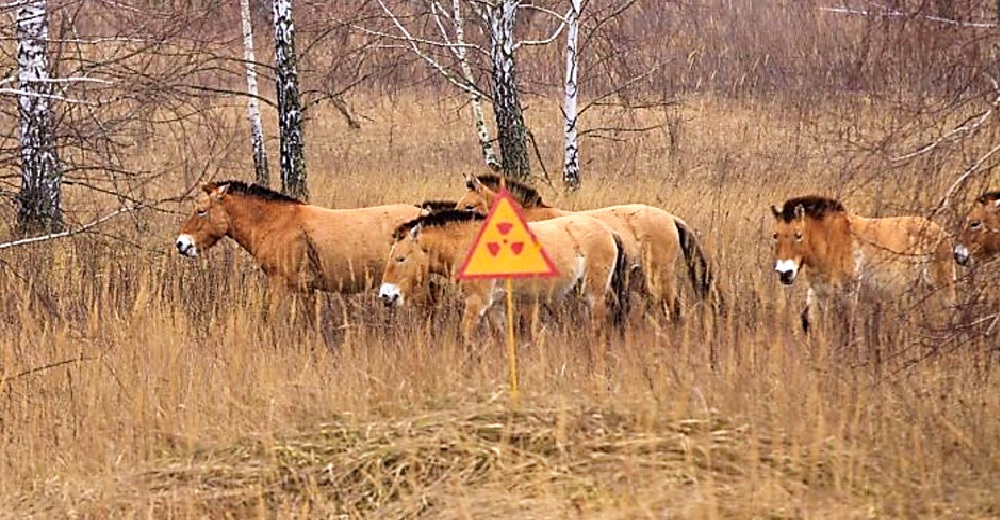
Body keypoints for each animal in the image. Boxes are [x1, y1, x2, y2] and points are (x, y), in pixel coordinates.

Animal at [376, 207, 624, 346]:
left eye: (400, 258)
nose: (386, 295)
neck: (469, 244)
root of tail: (608, 231)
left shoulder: (476, 303)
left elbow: (465, 337)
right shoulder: (494, 307)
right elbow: (499, 338)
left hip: (594, 294)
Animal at [768, 195, 956, 334]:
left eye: (798, 235)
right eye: (776, 235)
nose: (784, 273)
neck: (830, 243)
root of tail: (943, 234)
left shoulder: (848, 295)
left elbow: (847, 330)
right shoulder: (818, 293)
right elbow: (810, 325)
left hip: (944, 290)